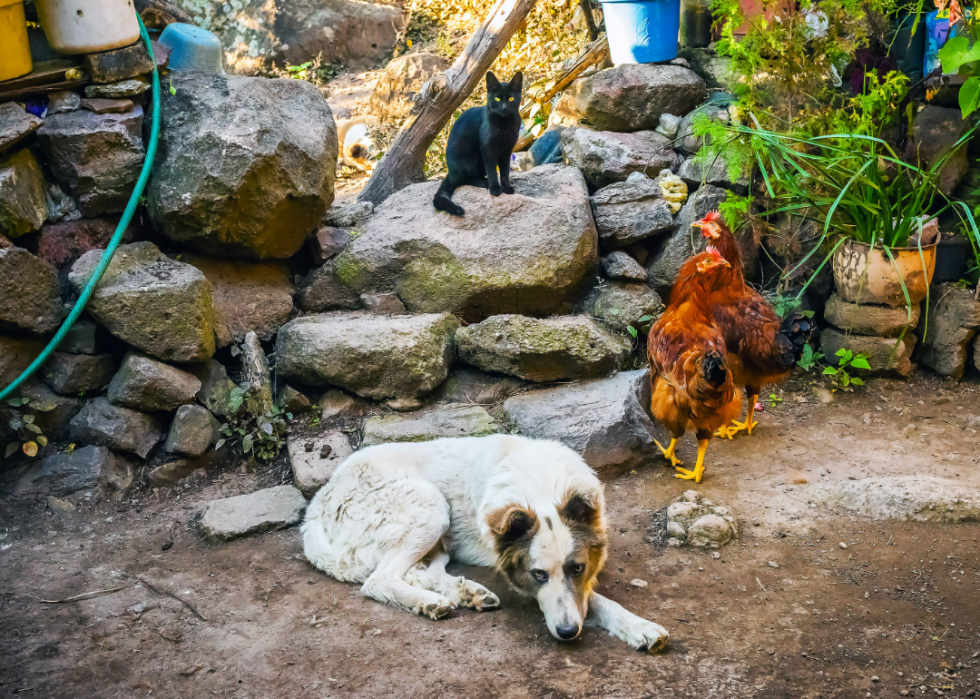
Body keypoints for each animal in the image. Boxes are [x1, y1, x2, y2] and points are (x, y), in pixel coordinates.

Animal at [302, 434, 668, 652]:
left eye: (577, 568)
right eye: (538, 575)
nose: (567, 633)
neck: (541, 488)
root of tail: (319, 500)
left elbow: (596, 601)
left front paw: (640, 627)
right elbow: (590, 601)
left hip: (439, 537)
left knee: (421, 571)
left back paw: (467, 594)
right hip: (433, 508)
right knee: (379, 580)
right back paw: (430, 602)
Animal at [428, 72, 520, 216]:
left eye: (511, 98)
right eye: (497, 98)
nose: (504, 107)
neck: (504, 124)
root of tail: (451, 172)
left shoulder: (507, 150)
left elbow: (505, 171)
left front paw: (506, 187)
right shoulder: (488, 149)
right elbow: (492, 170)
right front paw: (495, 189)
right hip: (469, 154)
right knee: (465, 179)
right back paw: (485, 182)